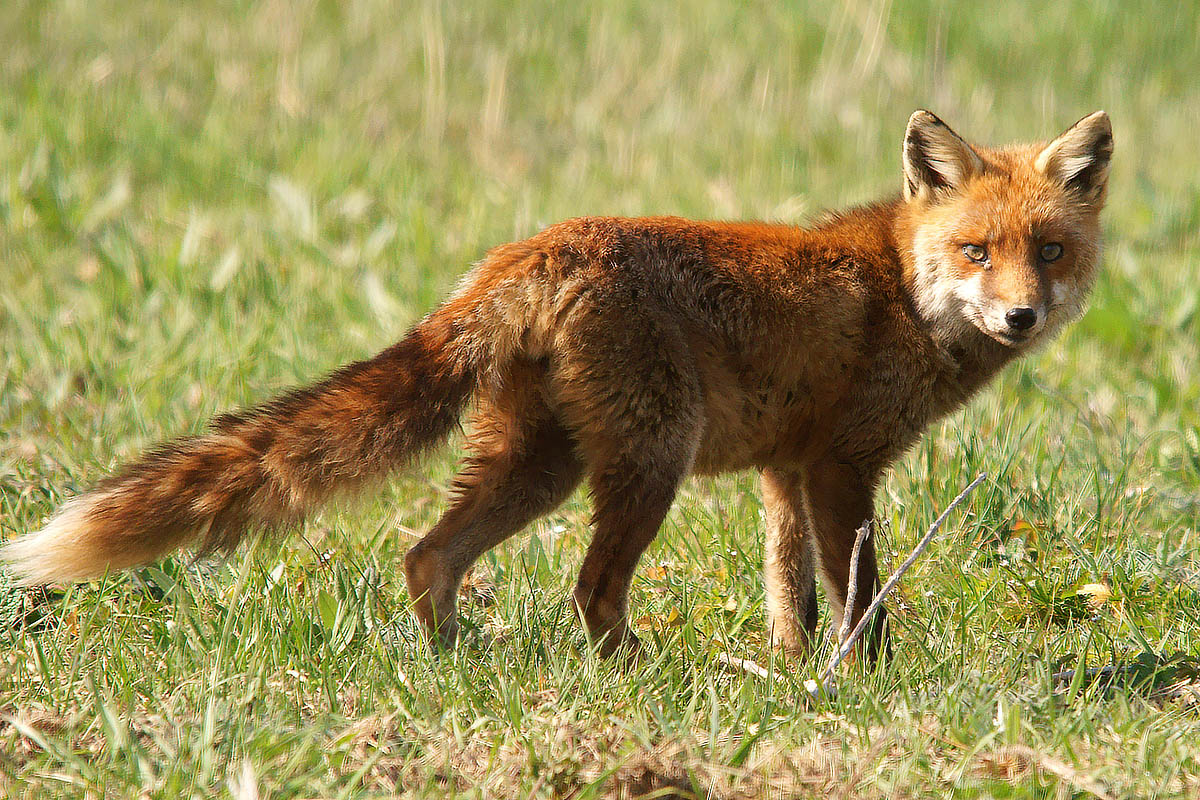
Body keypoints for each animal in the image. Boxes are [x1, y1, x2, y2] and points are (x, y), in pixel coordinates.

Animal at [2, 110, 1112, 662]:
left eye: (1049, 251)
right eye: (977, 251)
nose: (1021, 315)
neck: (898, 289)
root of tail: (527, 250)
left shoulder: (785, 473)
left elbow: (788, 594)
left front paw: (799, 672)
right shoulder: (840, 468)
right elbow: (860, 597)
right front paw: (869, 682)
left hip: (545, 465)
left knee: (428, 555)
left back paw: (455, 664)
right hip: (650, 458)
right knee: (587, 589)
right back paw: (634, 673)